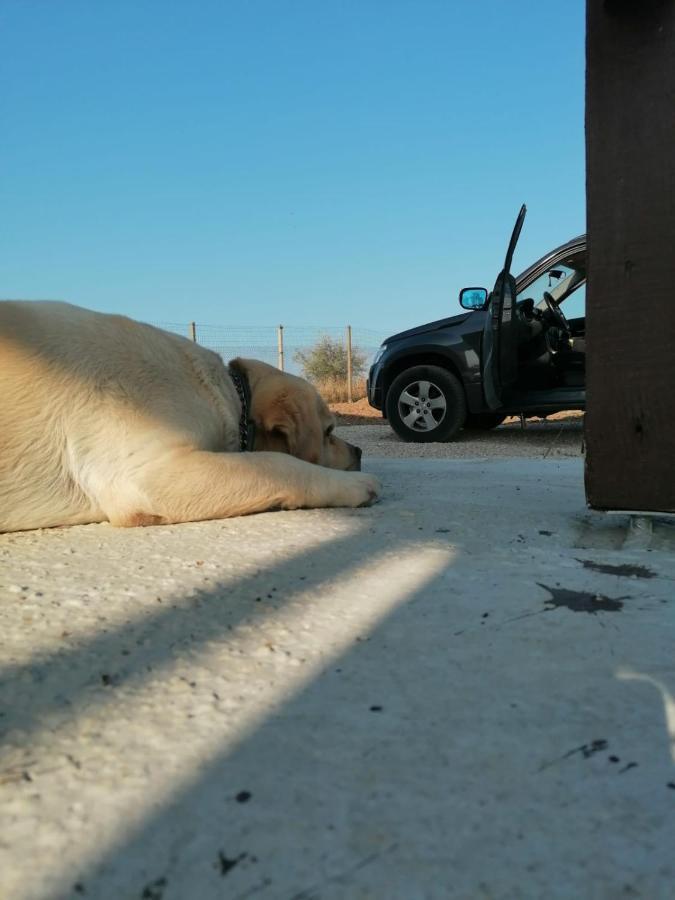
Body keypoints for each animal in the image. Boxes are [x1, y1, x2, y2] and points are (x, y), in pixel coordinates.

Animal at [0, 300, 380, 536]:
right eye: (328, 431)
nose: (360, 451)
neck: (227, 394)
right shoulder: (146, 474)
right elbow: (277, 463)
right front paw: (350, 485)